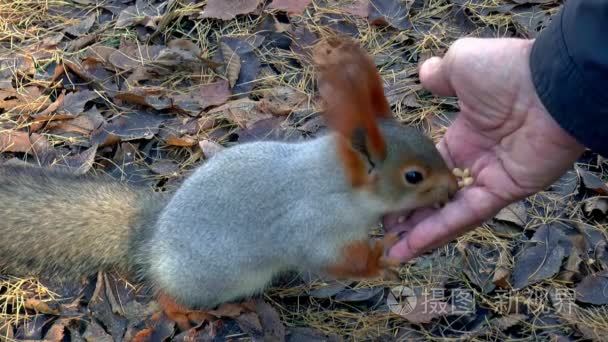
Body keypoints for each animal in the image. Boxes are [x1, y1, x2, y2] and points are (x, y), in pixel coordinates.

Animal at [0, 36, 458, 330]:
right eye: (413, 176)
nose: (454, 190)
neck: (336, 183)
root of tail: (151, 239)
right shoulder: (310, 225)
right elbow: (328, 258)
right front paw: (380, 258)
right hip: (209, 278)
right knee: (167, 293)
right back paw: (182, 311)